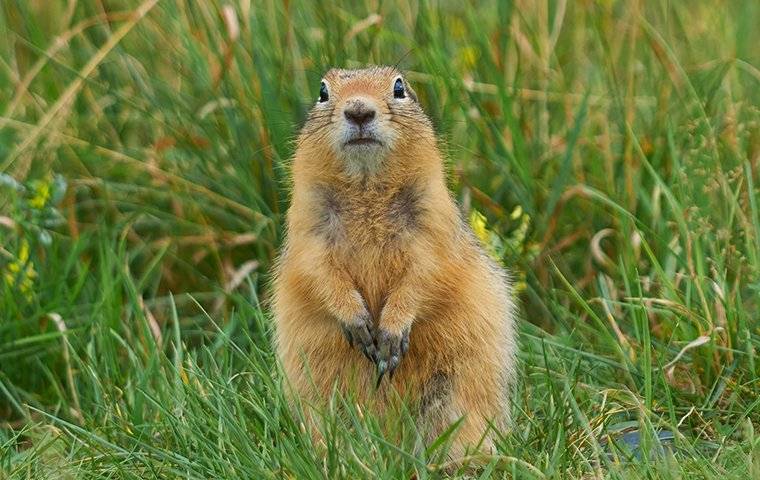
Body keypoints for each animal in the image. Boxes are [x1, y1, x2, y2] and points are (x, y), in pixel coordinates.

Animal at [272, 65, 516, 456]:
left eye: (399, 87)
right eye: (322, 92)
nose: (358, 110)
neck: (366, 187)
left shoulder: (433, 224)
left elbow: (425, 272)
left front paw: (391, 332)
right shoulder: (308, 227)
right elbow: (318, 270)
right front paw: (357, 322)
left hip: (455, 396)